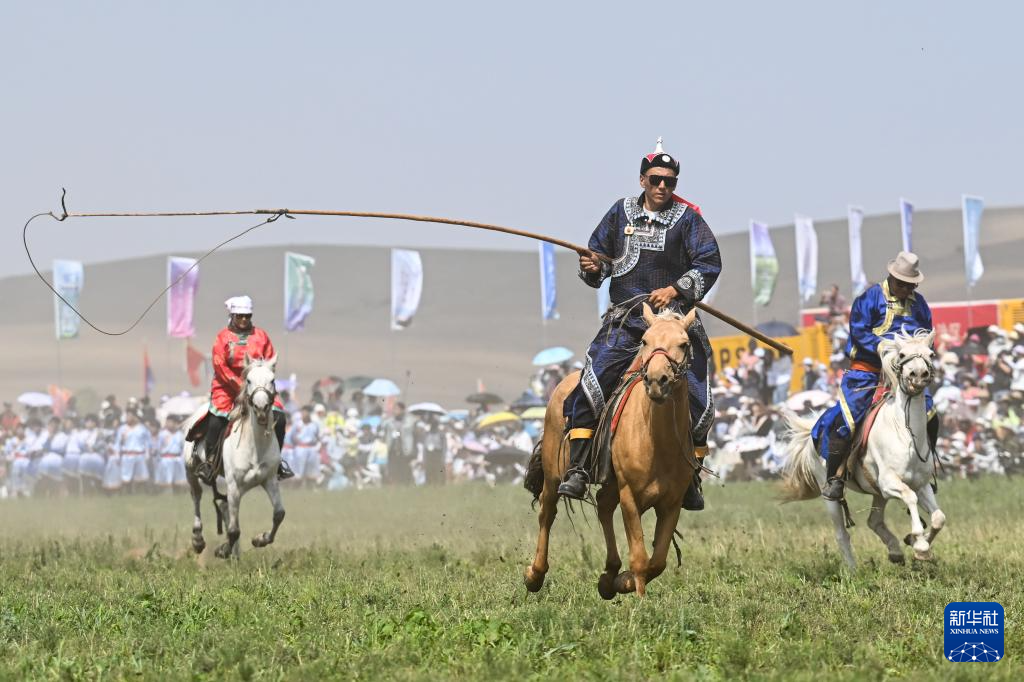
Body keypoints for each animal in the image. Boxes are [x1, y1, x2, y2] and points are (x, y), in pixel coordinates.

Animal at [183, 356, 284, 557]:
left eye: (272, 380)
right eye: (249, 380)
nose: (261, 407)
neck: (255, 446)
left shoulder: (269, 480)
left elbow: (279, 514)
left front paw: (260, 539)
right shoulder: (234, 485)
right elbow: (233, 530)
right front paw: (222, 550)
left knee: (223, 506)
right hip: (191, 470)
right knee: (196, 496)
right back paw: (198, 539)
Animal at [524, 303, 700, 593]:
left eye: (684, 344)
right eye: (645, 340)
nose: (657, 380)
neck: (658, 442)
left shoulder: (672, 502)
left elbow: (657, 562)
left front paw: (621, 580)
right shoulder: (630, 495)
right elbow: (640, 559)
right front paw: (635, 594)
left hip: (610, 482)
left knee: (604, 506)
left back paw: (609, 575)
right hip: (554, 474)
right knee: (547, 512)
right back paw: (534, 575)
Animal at [782, 329, 942, 569]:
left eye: (930, 354)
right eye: (902, 354)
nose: (918, 375)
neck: (905, 434)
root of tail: (813, 432)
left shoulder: (921, 484)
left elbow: (938, 518)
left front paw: (916, 543)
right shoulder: (889, 482)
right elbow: (910, 497)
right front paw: (920, 543)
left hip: (877, 492)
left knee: (874, 521)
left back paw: (895, 551)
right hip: (831, 493)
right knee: (842, 534)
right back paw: (853, 570)